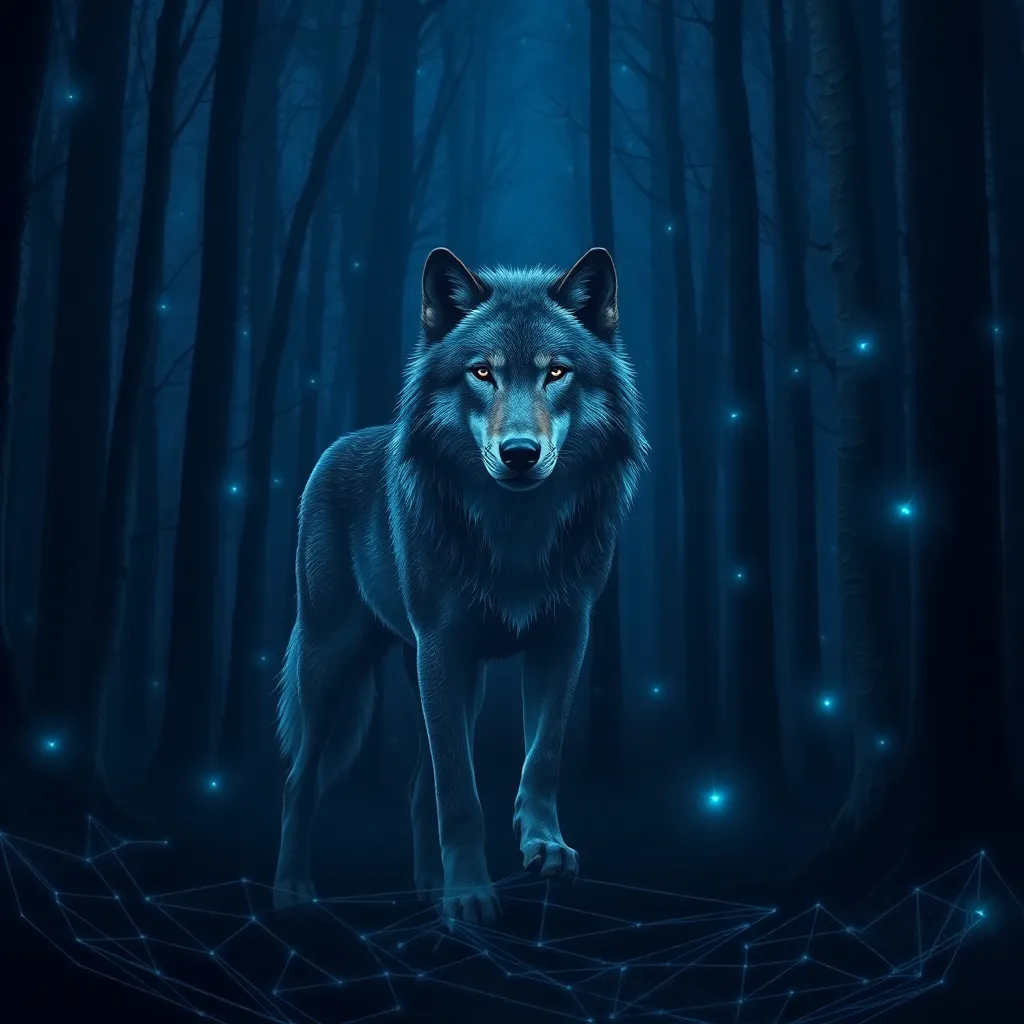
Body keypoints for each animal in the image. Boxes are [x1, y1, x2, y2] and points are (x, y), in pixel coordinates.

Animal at [272, 246, 647, 922]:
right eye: (482, 373)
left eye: (557, 373)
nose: (520, 453)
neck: (516, 532)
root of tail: (336, 447)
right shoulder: (446, 647)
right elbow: (460, 792)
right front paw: (469, 893)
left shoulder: (564, 636)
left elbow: (543, 753)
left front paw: (543, 846)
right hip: (333, 665)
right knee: (299, 781)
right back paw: (292, 892)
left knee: (418, 786)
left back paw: (425, 887)